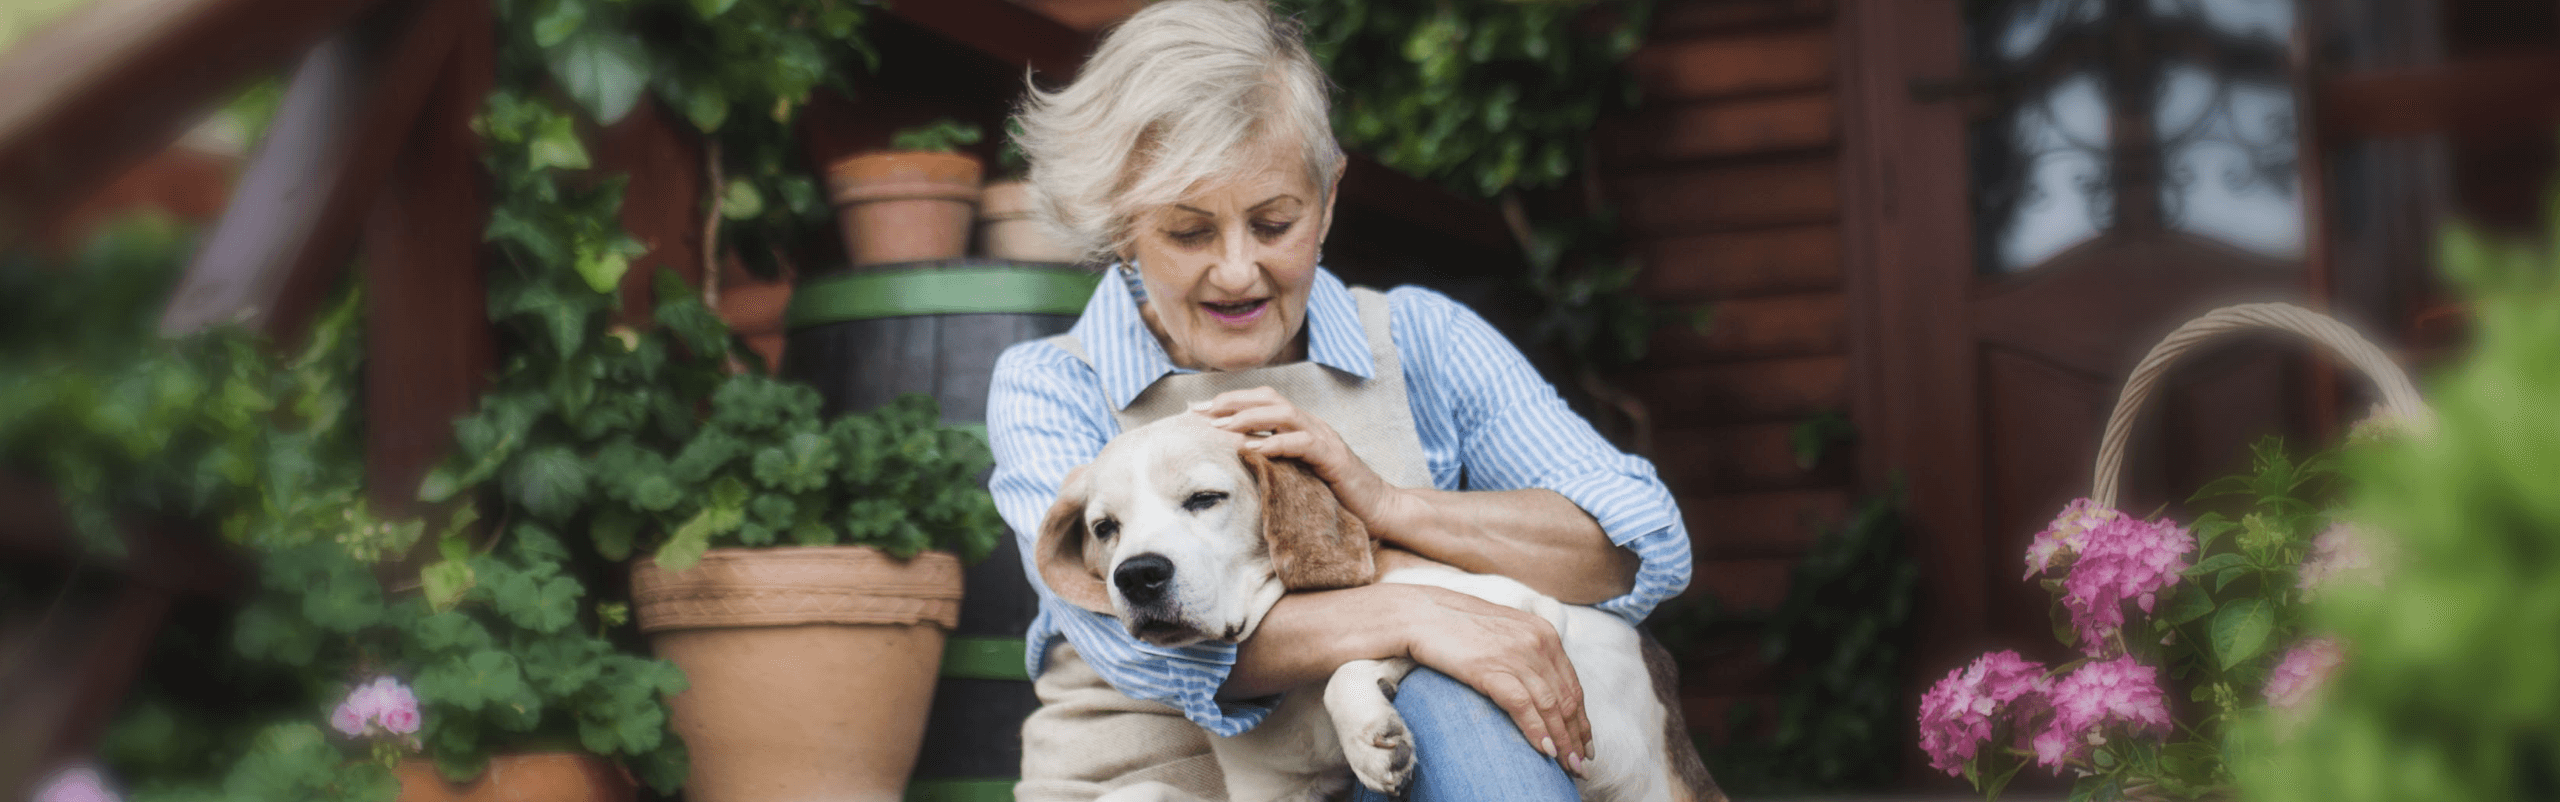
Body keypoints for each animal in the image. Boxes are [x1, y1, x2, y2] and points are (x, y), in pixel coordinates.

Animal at [1034, 412, 1720, 799]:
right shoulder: (1274, 794)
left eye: (1205, 499)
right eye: (1104, 528)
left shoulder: (1517, 613)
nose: (1138, 576)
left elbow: (1364, 653)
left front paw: (1368, 731)